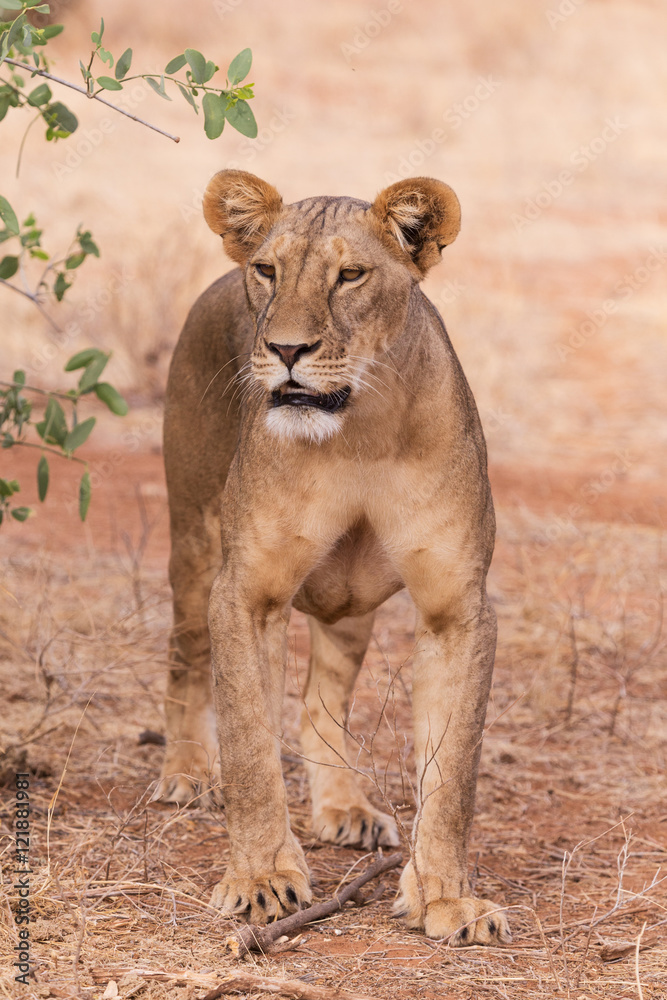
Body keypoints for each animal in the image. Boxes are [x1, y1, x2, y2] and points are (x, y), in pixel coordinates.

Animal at [155, 169, 511, 945]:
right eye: (267, 270)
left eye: (350, 276)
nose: (287, 349)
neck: (360, 433)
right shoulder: (246, 591)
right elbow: (251, 744)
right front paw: (261, 880)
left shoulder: (457, 606)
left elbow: (453, 771)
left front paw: (445, 897)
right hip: (192, 544)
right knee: (187, 661)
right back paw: (188, 772)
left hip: (349, 608)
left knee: (324, 701)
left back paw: (345, 808)